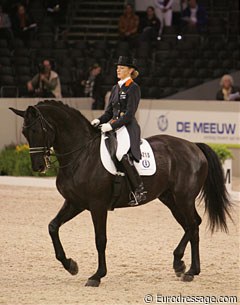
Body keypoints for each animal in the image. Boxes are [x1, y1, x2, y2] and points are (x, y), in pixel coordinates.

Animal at [9, 100, 232, 284]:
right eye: (25, 133)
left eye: (37, 130)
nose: (38, 166)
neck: (80, 155)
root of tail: (193, 146)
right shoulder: (75, 203)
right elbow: (53, 227)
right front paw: (70, 265)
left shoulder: (97, 205)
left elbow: (100, 239)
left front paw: (97, 276)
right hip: (170, 199)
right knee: (191, 224)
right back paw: (179, 264)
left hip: (184, 198)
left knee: (193, 226)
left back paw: (191, 271)